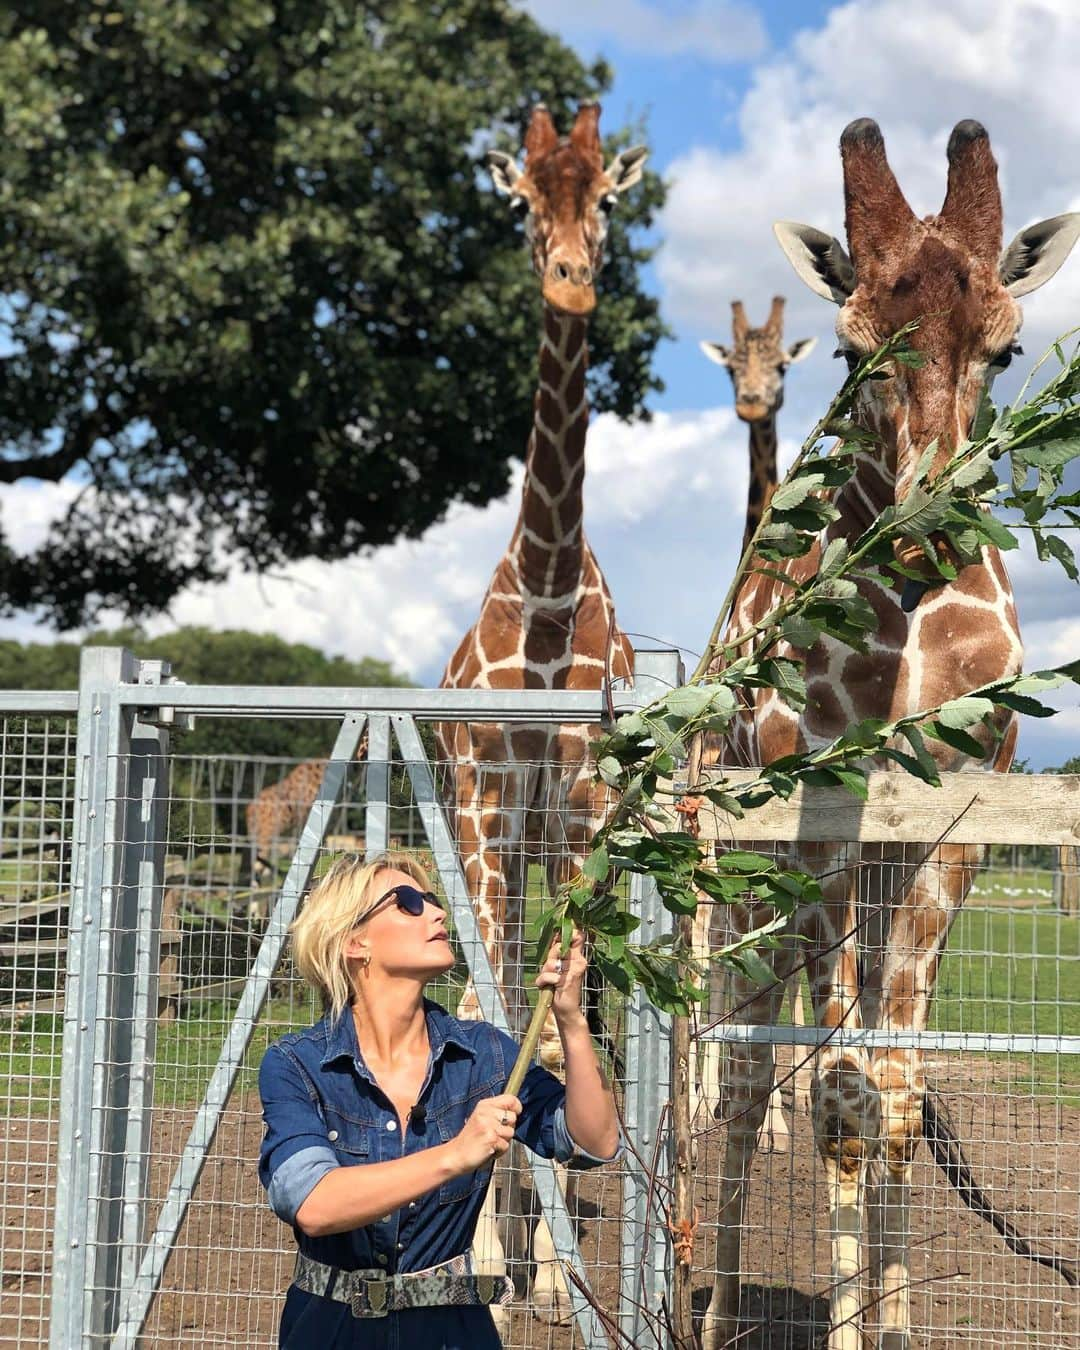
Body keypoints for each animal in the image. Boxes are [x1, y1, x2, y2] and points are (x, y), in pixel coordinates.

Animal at [702, 118, 1080, 1350]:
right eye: (851, 350)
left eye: (1009, 350)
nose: (929, 523)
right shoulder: (820, 830)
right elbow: (833, 1096)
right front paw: (843, 1321)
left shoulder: (950, 837)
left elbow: (902, 1095)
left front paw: (896, 1321)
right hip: (744, 880)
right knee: (741, 1079)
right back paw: (713, 1304)